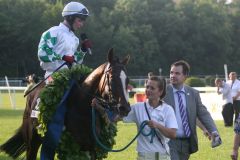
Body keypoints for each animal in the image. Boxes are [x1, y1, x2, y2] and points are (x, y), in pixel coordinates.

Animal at [0, 48, 131, 159]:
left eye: (127, 80)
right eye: (112, 77)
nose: (125, 108)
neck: (82, 109)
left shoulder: (91, 147)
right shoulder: (72, 147)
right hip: (33, 140)